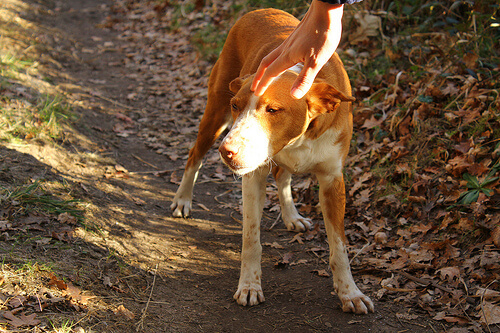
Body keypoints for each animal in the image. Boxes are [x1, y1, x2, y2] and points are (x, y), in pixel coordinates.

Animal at [170, 8, 374, 314]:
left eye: (273, 110)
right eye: (236, 106)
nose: (227, 151)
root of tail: (261, 10)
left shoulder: (332, 180)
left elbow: (339, 247)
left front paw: (350, 292)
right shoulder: (252, 176)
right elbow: (251, 238)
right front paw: (249, 285)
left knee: (282, 175)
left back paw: (291, 216)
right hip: (215, 114)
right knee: (195, 155)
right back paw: (183, 200)